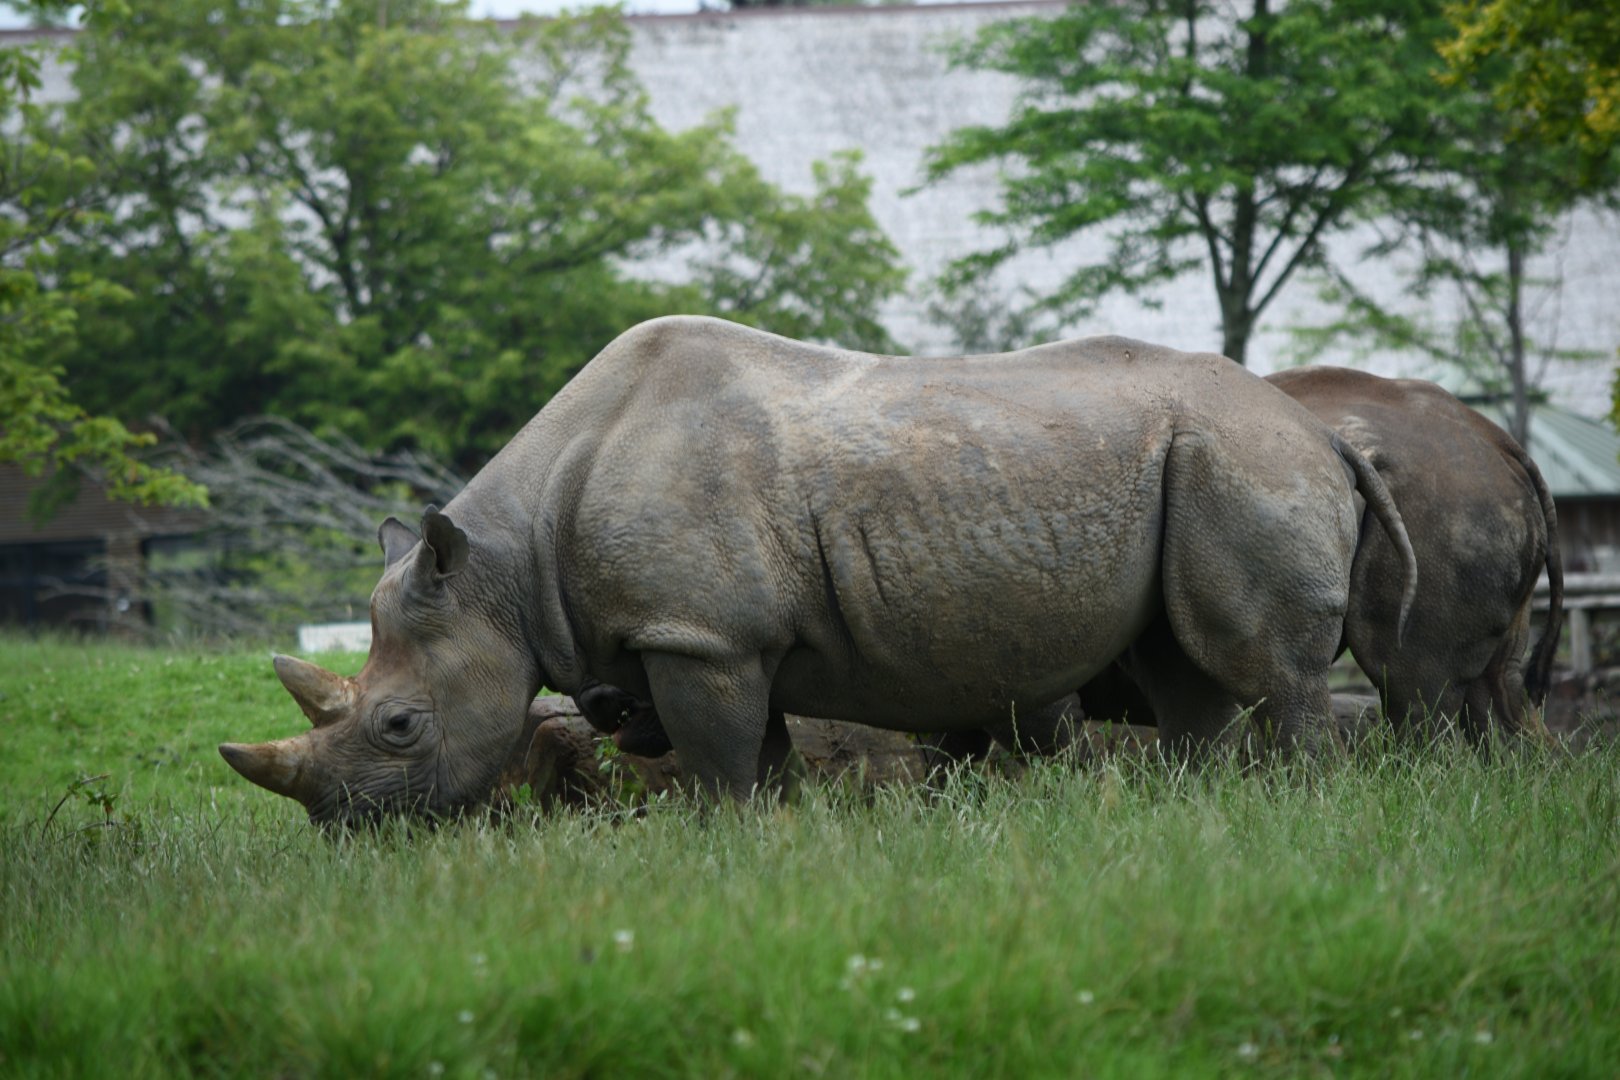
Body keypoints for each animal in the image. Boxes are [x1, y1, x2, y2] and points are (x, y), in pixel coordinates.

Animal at [219, 317, 1415, 824]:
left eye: (399, 727)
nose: (346, 829)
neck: (504, 575)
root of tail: (1324, 432)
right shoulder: (709, 637)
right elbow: (760, 756)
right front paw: (781, 848)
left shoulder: (700, 634)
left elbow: (718, 762)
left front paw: (727, 846)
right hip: (1206, 463)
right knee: (1182, 671)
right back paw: (1198, 818)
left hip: (1242, 461)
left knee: (1267, 671)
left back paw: (1300, 813)